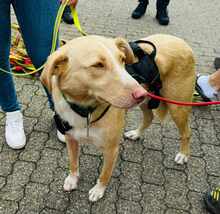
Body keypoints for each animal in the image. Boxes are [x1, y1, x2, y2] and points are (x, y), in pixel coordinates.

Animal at [40, 33, 195, 202]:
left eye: (122, 59)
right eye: (98, 65)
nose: (140, 93)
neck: (85, 111)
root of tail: (180, 41)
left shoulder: (111, 149)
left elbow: (104, 174)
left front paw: (98, 190)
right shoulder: (71, 139)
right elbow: (73, 163)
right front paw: (72, 179)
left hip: (177, 106)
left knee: (186, 132)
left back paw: (183, 154)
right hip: (147, 103)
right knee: (149, 117)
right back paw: (136, 134)